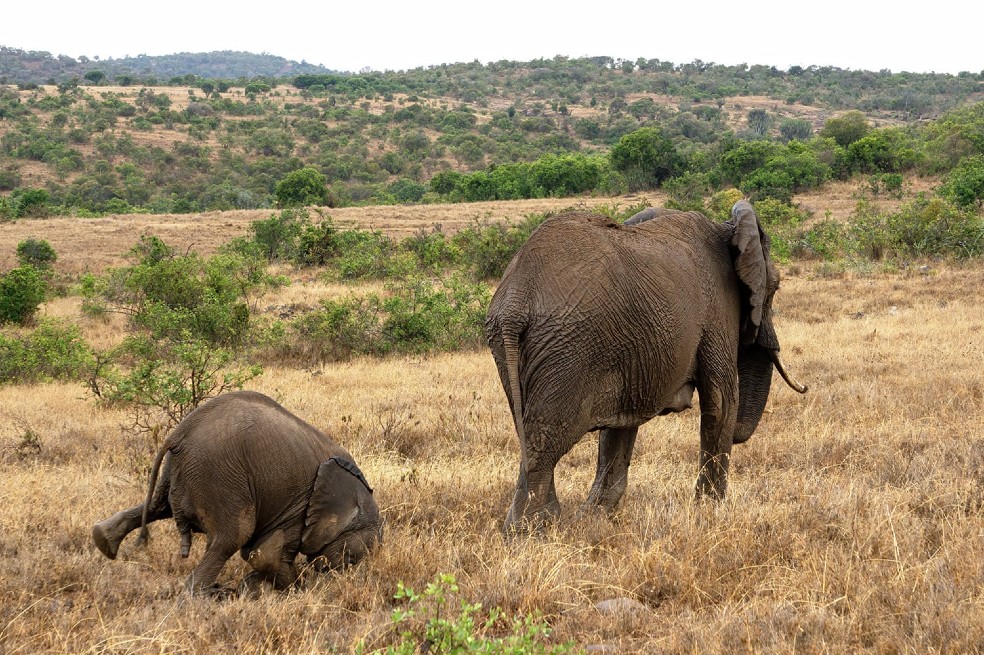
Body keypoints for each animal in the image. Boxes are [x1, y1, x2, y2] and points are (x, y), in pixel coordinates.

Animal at [91, 390, 382, 593]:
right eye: (352, 558)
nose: (337, 582)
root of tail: (178, 435)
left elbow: (259, 555)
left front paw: (255, 590)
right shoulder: (301, 504)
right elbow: (264, 555)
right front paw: (297, 590)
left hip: (178, 473)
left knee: (156, 507)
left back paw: (104, 541)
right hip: (218, 476)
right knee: (232, 535)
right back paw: (202, 597)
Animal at [485, 200, 807, 532]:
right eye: (775, 287)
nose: (805, 387)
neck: (727, 228)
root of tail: (515, 302)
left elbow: (620, 423)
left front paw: (597, 517)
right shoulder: (719, 308)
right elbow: (722, 402)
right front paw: (709, 512)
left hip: (518, 348)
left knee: (528, 433)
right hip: (566, 349)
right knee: (546, 440)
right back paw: (532, 530)